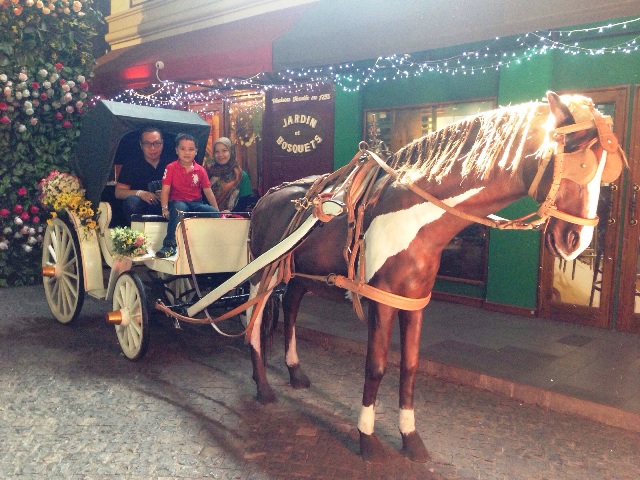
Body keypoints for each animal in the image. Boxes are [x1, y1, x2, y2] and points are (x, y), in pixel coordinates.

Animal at [244, 92, 624, 464]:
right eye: (580, 164)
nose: (576, 240)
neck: (413, 217)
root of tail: (268, 196)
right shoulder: (382, 302)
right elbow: (376, 366)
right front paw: (367, 438)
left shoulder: (413, 301)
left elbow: (410, 366)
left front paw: (410, 438)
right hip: (261, 276)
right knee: (254, 321)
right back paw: (262, 387)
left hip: (296, 275)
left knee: (291, 307)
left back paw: (294, 372)